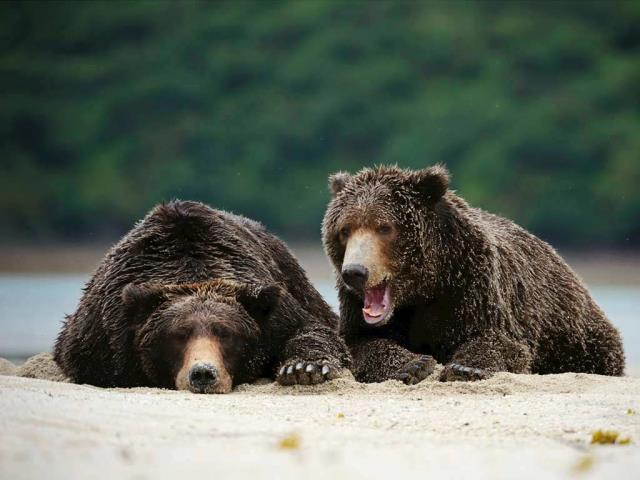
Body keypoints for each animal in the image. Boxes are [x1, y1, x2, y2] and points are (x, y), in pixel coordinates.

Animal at [54, 200, 350, 393]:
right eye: (178, 334)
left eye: (227, 334)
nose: (203, 374)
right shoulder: (105, 332)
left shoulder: (273, 313)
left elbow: (311, 329)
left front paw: (303, 369)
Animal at [322, 164, 625, 384]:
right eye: (345, 229)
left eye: (384, 227)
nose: (355, 272)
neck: (425, 287)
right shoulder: (356, 308)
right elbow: (359, 343)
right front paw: (413, 364)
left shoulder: (471, 286)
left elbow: (499, 341)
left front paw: (466, 368)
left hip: (574, 334)